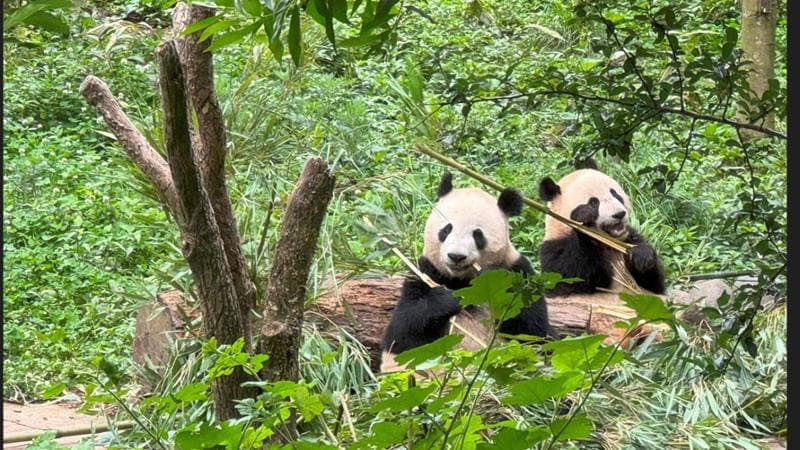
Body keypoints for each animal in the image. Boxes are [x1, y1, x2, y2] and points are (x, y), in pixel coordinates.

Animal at [380, 173, 554, 373]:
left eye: (478, 235)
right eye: (446, 229)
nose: (456, 256)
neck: (461, 280)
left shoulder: (518, 271)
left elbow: (533, 332)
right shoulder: (424, 272)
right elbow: (402, 335)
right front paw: (449, 299)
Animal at [537, 159, 666, 305]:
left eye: (615, 194)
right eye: (594, 203)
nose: (619, 214)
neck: (607, 242)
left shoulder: (628, 237)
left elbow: (654, 284)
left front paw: (642, 255)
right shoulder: (554, 248)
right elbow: (568, 278)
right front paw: (583, 216)